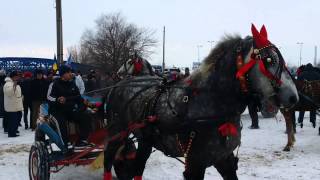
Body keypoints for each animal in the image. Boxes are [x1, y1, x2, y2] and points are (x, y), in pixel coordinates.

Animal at [104, 24, 298, 180]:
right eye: (268, 60)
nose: (294, 97)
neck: (208, 104)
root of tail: (121, 84)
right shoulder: (195, 164)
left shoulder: (224, 159)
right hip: (117, 131)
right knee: (109, 156)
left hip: (145, 139)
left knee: (138, 166)